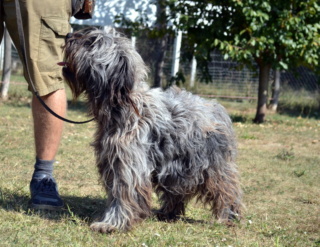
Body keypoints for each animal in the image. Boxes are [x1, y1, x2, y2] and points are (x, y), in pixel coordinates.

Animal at [60, 28, 242, 233]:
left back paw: (228, 216)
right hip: (176, 164)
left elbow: (123, 194)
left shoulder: (127, 163)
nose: (68, 36)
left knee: (226, 188)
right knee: (176, 191)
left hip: (212, 165)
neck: (125, 105)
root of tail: (217, 108)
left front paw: (112, 224)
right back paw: (168, 212)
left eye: (91, 42)